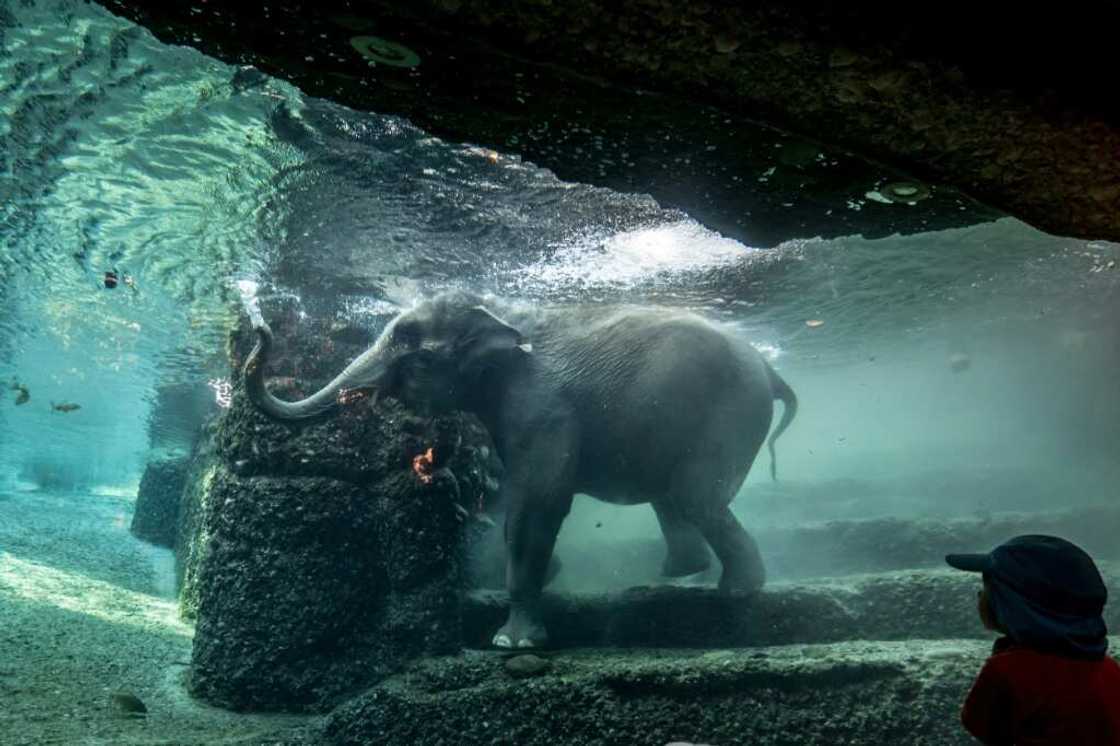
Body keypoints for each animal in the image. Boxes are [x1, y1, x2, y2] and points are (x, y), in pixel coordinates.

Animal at [243, 291, 797, 649]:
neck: (505, 316)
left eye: (408, 339)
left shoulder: (542, 408)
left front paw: (511, 644)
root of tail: (773, 373)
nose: (260, 325)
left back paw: (738, 591)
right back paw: (683, 575)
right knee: (679, 499)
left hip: (731, 414)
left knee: (694, 497)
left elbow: (538, 506)